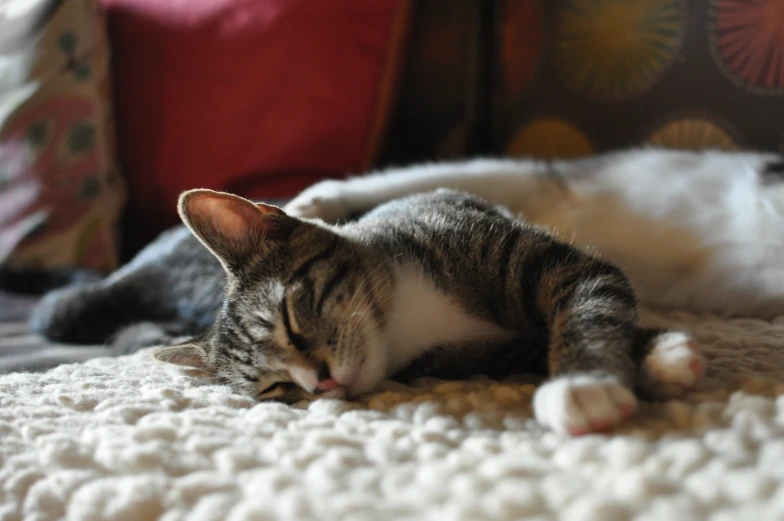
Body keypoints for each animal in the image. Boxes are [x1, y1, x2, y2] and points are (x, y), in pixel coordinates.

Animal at [30, 187, 704, 434]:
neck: (407, 317)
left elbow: (591, 303)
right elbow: (540, 340)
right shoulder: (464, 357)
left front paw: (593, 378)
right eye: (277, 389)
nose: (321, 383)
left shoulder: (548, 262)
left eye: (292, 320)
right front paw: (648, 362)